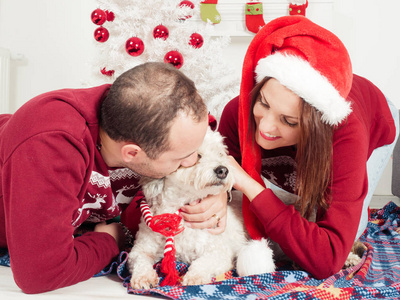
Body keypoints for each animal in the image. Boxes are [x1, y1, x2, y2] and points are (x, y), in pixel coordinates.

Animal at [128, 128, 276, 288]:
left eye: (220, 154)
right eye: (197, 156)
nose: (223, 170)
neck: (179, 213)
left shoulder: (219, 253)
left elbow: (202, 263)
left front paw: (195, 277)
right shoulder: (139, 250)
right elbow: (140, 260)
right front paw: (143, 277)